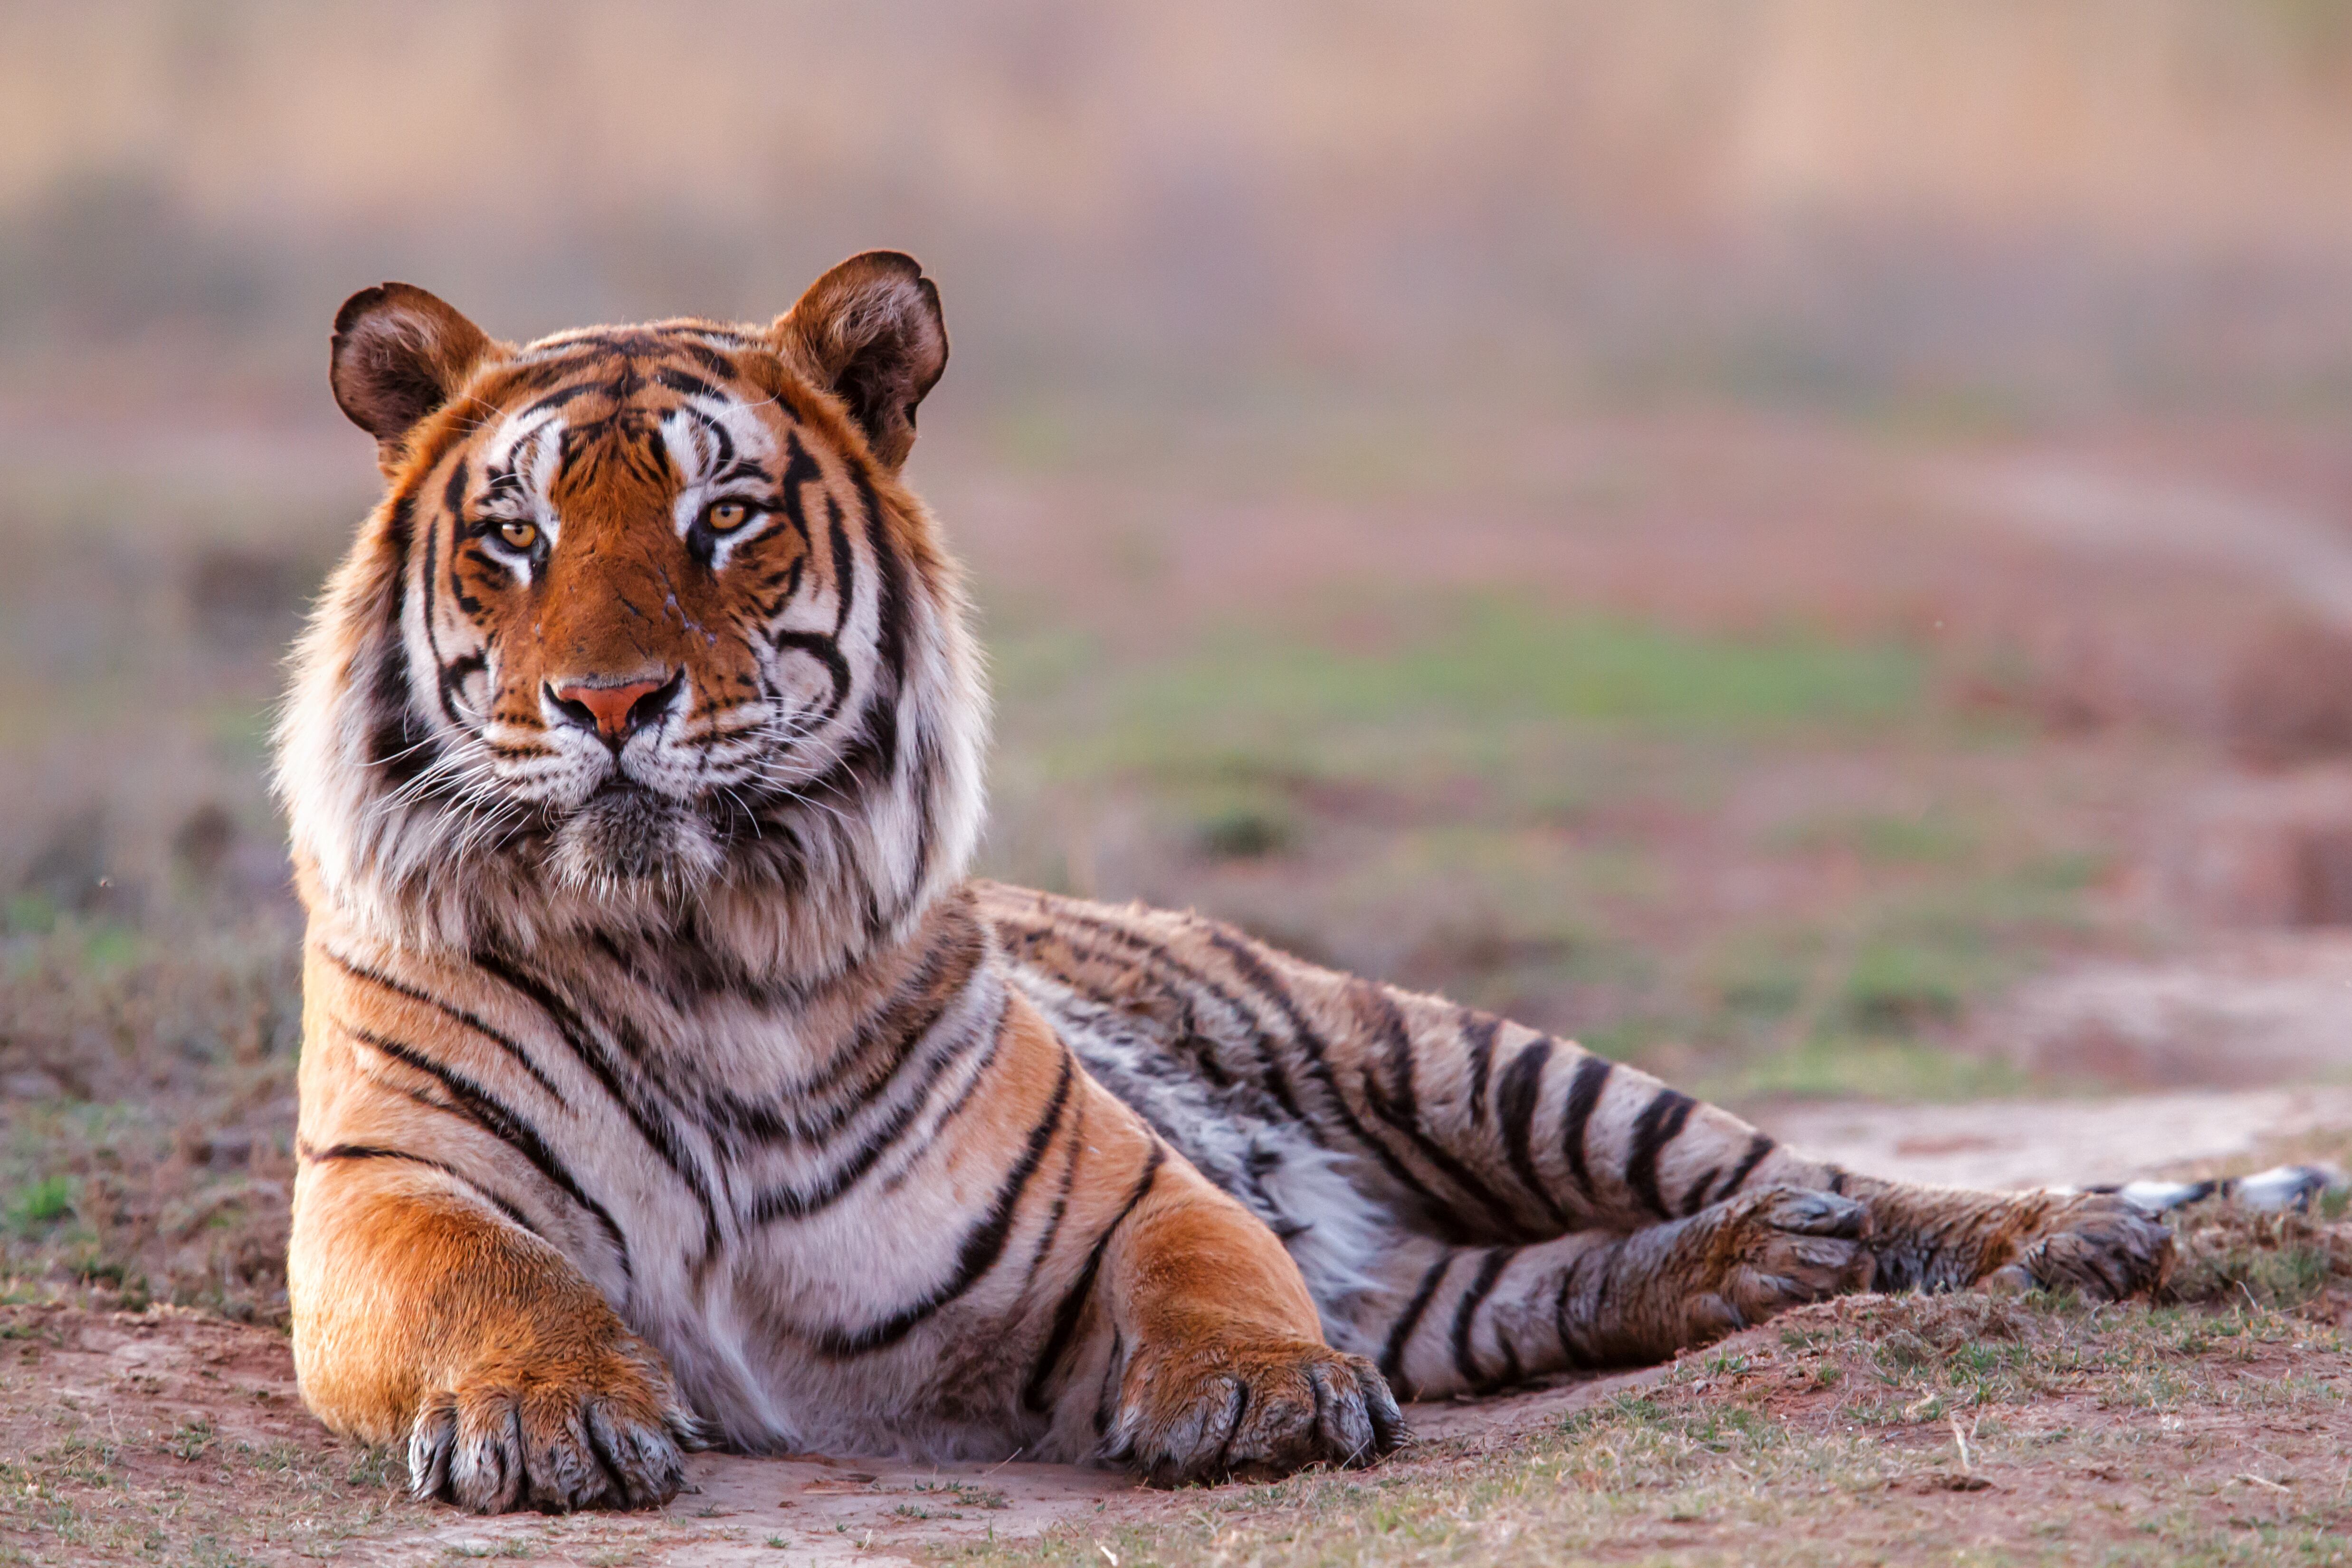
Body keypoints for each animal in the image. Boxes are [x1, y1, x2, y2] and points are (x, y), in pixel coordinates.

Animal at [275, 251, 2173, 1514]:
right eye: (513, 536)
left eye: (724, 520)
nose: (607, 703)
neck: (688, 938)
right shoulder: (385, 1188)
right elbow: (494, 1279)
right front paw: (549, 1416)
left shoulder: (1115, 1186)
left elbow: (1209, 1264)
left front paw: (1261, 1395)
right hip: (1445, 1273)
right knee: (1545, 1282)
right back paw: (1750, 1274)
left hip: (1466, 1059)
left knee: (1809, 1167)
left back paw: (2076, 1233)